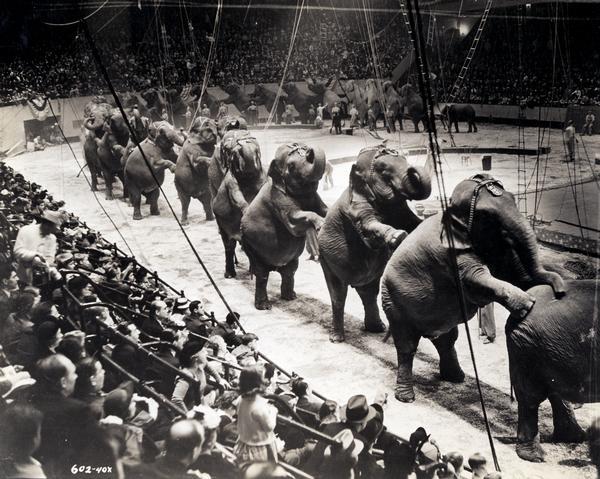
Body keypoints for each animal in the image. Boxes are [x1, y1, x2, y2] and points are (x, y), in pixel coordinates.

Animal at [212, 131, 266, 282]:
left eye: (258, 151)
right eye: (229, 150)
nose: (242, 143)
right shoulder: (231, 180)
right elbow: (236, 195)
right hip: (221, 221)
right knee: (228, 244)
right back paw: (230, 274)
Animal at [241, 142, 328, 312]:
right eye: (291, 166)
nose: (308, 149)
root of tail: (274, 266)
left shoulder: (315, 197)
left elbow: (326, 208)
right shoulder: (278, 198)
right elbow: (294, 222)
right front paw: (321, 224)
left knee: (290, 270)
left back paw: (290, 297)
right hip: (250, 244)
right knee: (261, 273)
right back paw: (264, 306)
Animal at [318, 144, 432, 344]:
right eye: (384, 171)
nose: (412, 165)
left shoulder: (399, 208)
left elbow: (414, 222)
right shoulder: (354, 208)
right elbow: (368, 227)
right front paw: (399, 236)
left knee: (369, 292)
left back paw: (377, 329)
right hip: (326, 258)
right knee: (338, 294)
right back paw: (337, 338)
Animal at [382, 174, 564, 404]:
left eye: (514, 200)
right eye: (485, 216)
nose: (560, 292)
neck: (448, 212)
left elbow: (517, 276)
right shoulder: (449, 255)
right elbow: (477, 278)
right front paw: (527, 305)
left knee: (446, 338)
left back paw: (455, 378)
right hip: (393, 303)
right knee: (407, 345)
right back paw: (406, 397)